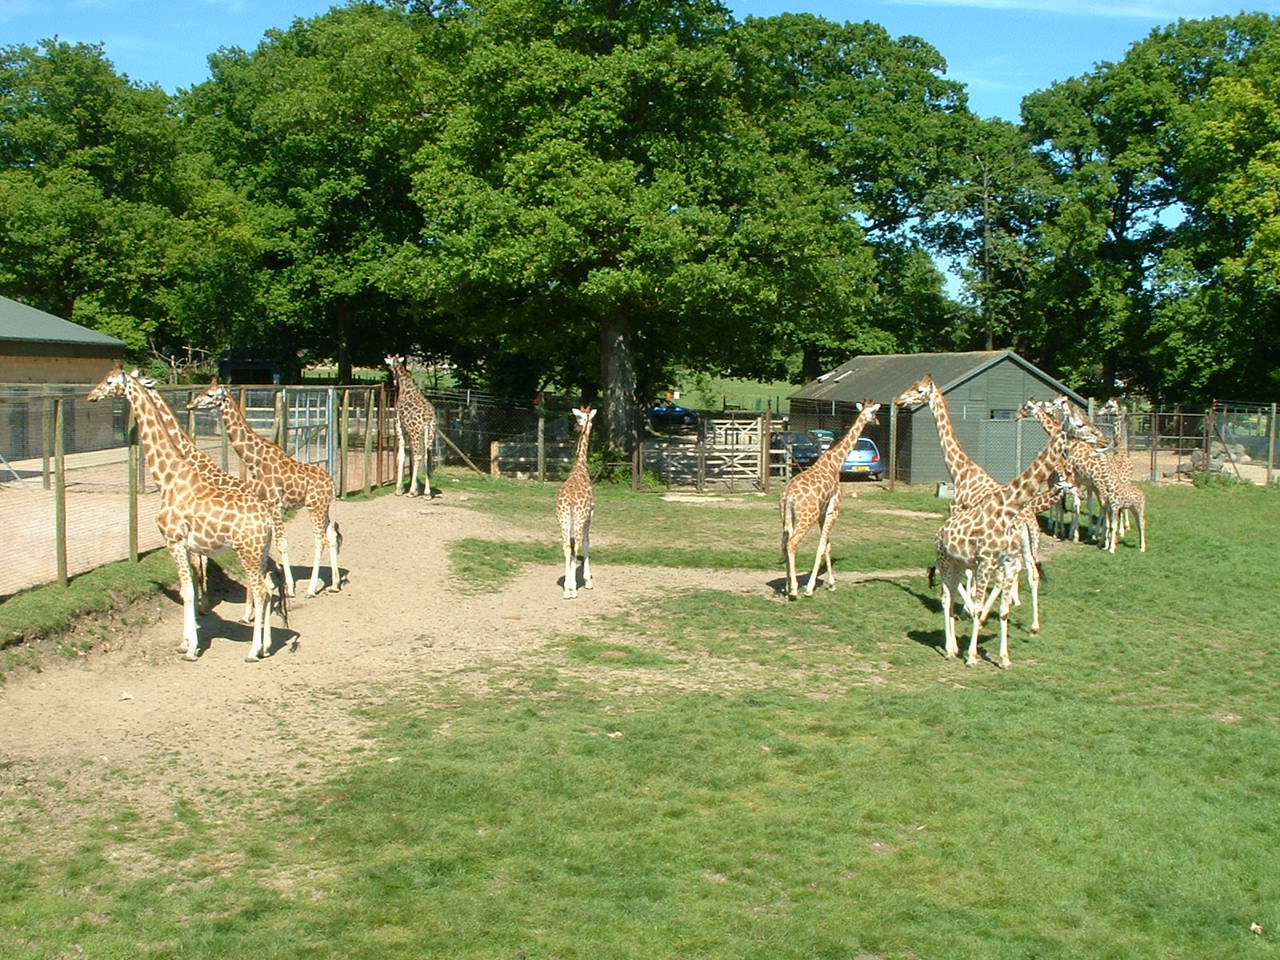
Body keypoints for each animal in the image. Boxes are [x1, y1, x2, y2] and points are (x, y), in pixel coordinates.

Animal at [87, 366, 285, 662]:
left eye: (110, 381)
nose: (91, 395)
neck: (168, 478)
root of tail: (267, 519)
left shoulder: (175, 540)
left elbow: (186, 591)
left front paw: (191, 648)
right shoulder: (191, 544)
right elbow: (190, 585)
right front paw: (186, 641)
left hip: (246, 552)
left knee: (262, 590)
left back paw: (253, 650)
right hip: (258, 553)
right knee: (270, 587)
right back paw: (267, 645)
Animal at [188, 378, 341, 597]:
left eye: (210, 394)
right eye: (202, 390)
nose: (190, 405)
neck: (255, 460)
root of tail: (331, 483)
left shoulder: (275, 504)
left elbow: (282, 544)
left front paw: (290, 588)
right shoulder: (266, 505)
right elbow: (271, 544)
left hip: (315, 506)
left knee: (320, 540)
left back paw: (311, 589)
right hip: (323, 507)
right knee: (331, 535)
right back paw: (335, 584)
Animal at [385, 354, 438, 497]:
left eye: (389, 365)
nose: (393, 381)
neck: (405, 387)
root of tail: (427, 418)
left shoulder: (399, 425)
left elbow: (401, 456)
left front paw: (399, 489)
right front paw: (418, 488)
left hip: (415, 432)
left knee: (418, 456)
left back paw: (411, 492)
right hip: (429, 433)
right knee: (426, 456)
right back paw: (427, 493)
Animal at [779, 402, 881, 600]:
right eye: (874, 413)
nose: (879, 422)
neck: (835, 463)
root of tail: (789, 496)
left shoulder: (823, 512)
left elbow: (827, 545)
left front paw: (832, 583)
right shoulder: (834, 509)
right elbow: (821, 546)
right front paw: (810, 588)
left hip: (785, 517)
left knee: (784, 543)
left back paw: (787, 587)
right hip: (806, 517)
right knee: (792, 544)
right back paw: (794, 589)